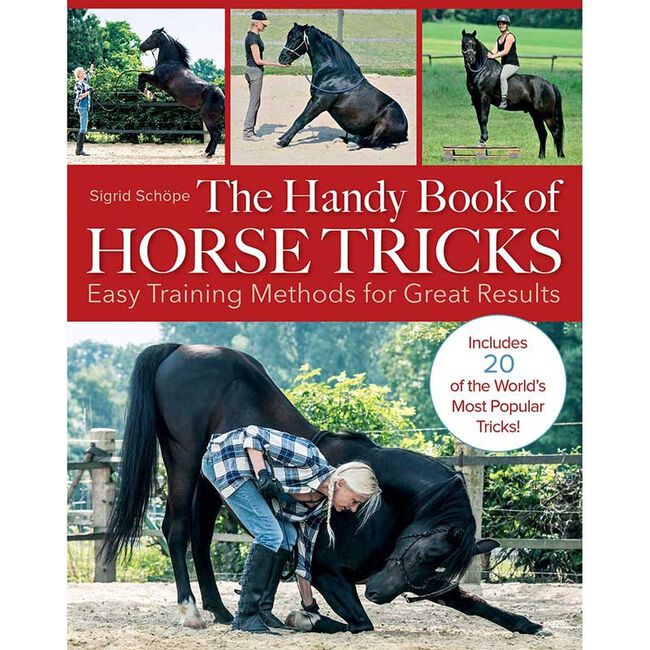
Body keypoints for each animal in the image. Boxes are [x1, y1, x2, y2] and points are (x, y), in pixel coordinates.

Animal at [102, 344, 549, 636]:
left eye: (434, 567)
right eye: (421, 554)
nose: (377, 591)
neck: (385, 504)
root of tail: (179, 350)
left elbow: (472, 603)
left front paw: (527, 625)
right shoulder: (327, 573)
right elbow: (362, 623)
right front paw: (308, 619)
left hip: (212, 485)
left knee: (200, 537)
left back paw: (223, 611)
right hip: (183, 461)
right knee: (177, 531)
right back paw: (192, 612)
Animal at [138, 28, 225, 158]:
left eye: (152, 37)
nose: (141, 46)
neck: (170, 63)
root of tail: (222, 96)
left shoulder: (159, 83)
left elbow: (142, 75)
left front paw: (143, 90)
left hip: (207, 116)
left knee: (216, 133)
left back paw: (210, 154)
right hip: (209, 117)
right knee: (213, 134)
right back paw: (206, 152)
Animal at [275, 24, 408, 150]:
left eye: (295, 38)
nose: (282, 59)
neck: (332, 74)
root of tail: (405, 131)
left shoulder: (319, 102)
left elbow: (301, 120)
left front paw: (282, 142)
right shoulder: (314, 100)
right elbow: (299, 119)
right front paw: (281, 138)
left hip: (383, 124)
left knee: (373, 141)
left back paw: (354, 143)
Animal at [461, 30, 565, 159]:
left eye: (474, 44)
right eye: (464, 43)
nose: (470, 59)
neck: (482, 71)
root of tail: (550, 85)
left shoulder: (485, 98)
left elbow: (484, 119)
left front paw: (483, 140)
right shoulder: (476, 100)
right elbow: (480, 119)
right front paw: (482, 141)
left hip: (546, 115)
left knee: (556, 132)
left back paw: (560, 156)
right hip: (535, 114)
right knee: (543, 134)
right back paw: (541, 156)